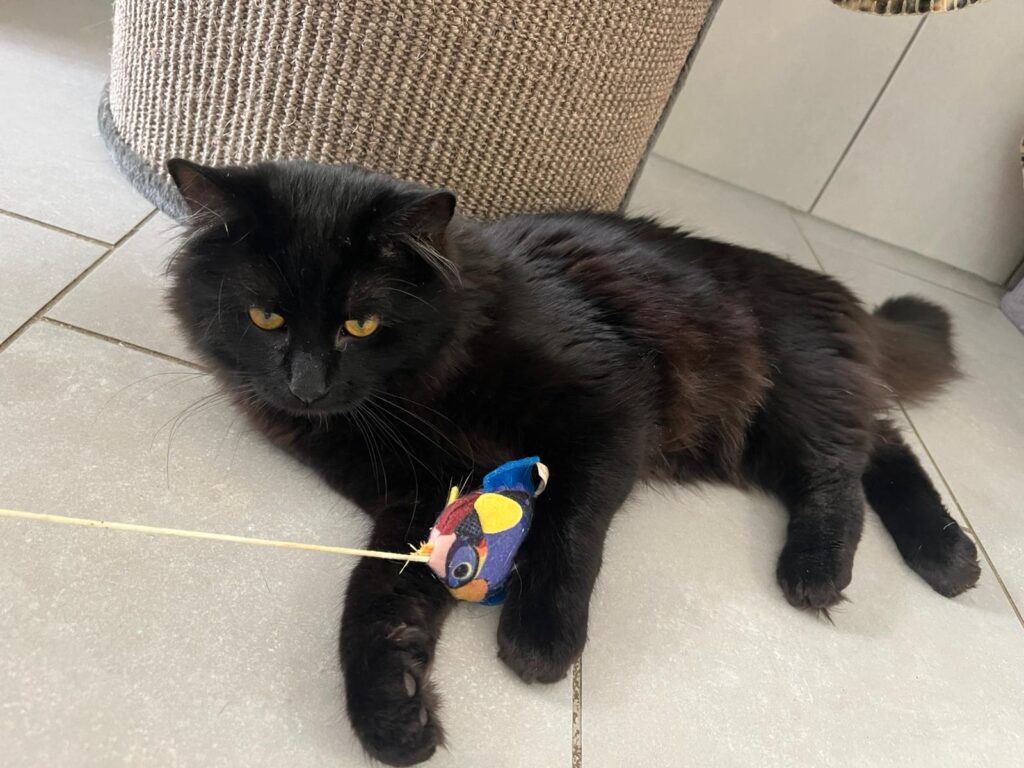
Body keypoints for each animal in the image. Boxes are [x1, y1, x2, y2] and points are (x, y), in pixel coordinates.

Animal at [166, 158, 981, 766]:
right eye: (265, 318)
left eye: (360, 324)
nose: (305, 387)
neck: (416, 392)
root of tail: (836, 292)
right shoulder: (418, 495)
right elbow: (379, 593)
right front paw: (391, 710)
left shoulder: (608, 407)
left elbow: (569, 530)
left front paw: (540, 637)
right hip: (758, 432)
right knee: (882, 444)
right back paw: (948, 558)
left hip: (790, 388)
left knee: (842, 464)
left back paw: (834, 570)